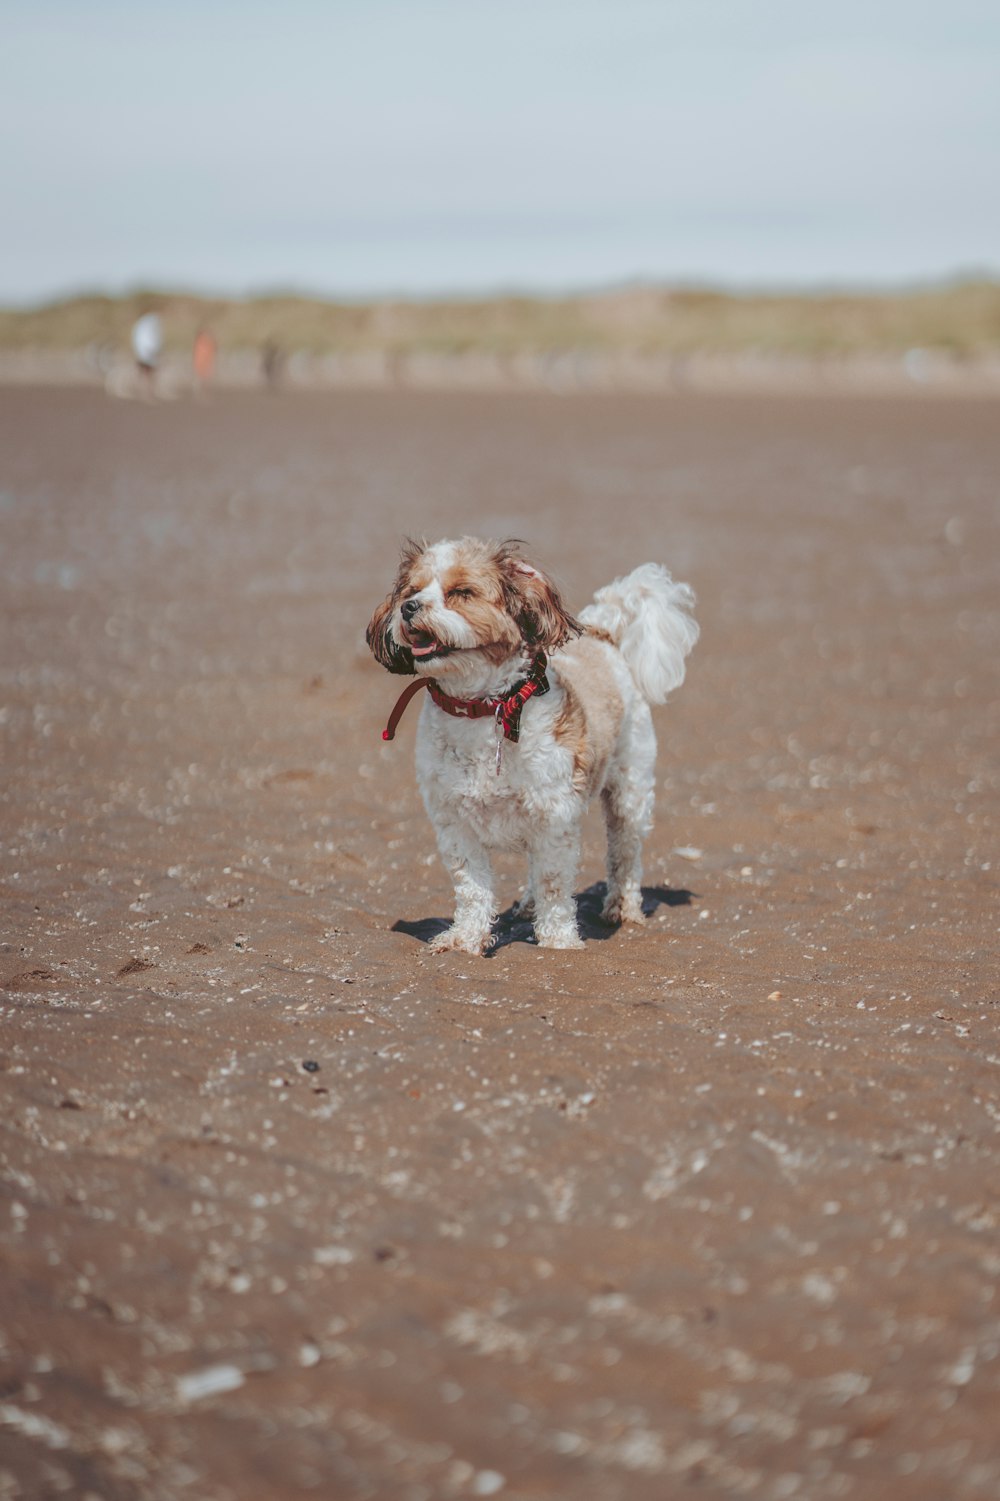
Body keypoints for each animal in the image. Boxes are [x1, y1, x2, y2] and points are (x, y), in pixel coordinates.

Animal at [361, 537, 696, 948]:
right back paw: (528, 905)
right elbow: (472, 887)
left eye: (462, 593)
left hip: (629, 793)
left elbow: (555, 884)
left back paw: (622, 908)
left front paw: (559, 942)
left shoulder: (554, 817)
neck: (484, 709)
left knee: (624, 856)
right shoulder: (455, 823)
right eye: (411, 592)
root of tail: (603, 635)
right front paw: (465, 939)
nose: (409, 608)